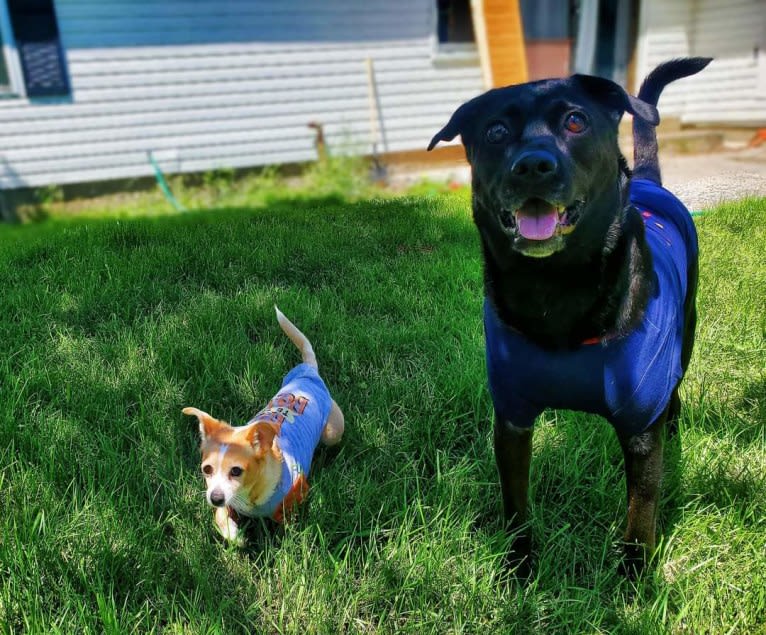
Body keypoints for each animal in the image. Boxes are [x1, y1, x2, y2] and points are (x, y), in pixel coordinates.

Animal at [183, 306, 344, 544]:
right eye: (207, 469)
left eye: (236, 471)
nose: (215, 497)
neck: (248, 497)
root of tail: (308, 371)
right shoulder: (225, 503)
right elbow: (220, 516)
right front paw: (234, 534)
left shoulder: (293, 499)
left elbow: (286, 530)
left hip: (332, 431)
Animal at [432, 58, 712, 572]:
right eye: (496, 130)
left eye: (576, 121)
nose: (533, 166)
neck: (556, 287)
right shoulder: (512, 416)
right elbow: (515, 502)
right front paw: (519, 564)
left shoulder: (641, 432)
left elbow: (641, 512)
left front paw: (635, 575)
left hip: (687, 329)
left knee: (677, 380)